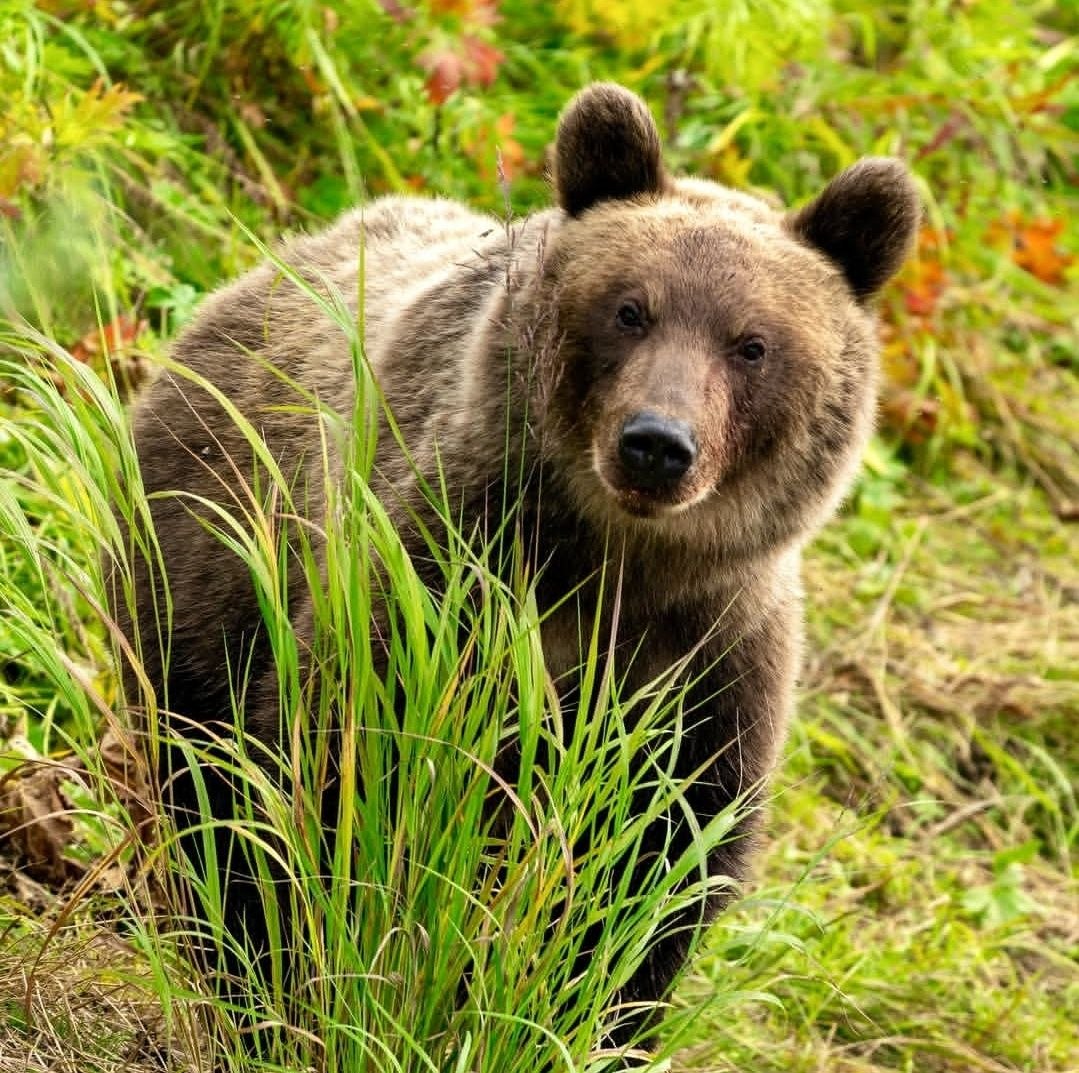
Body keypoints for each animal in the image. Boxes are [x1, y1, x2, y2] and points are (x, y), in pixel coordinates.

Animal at [112, 83, 919, 1055]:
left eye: (752, 342)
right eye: (629, 308)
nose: (656, 444)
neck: (613, 564)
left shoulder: (709, 665)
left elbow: (658, 873)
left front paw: (583, 1026)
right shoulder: (441, 580)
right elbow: (347, 774)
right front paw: (305, 991)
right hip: (206, 543)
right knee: (199, 766)